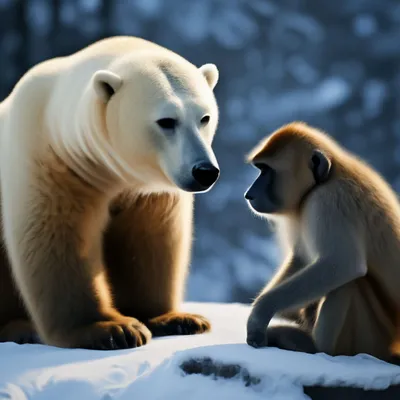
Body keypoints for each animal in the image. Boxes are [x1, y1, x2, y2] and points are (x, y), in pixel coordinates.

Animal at [0, 36, 220, 348]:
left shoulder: (149, 193)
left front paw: (176, 319)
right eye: (166, 121)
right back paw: (19, 328)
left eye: (205, 117)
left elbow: (150, 241)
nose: (204, 171)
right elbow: (59, 238)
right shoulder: (52, 164)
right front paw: (112, 329)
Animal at [242, 120, 400, 360]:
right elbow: (302, 258)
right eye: (259, 169)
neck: (328, 178)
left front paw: (259, 315)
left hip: (372, 338)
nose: (249, 194)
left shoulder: (329, 200)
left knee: (348, 282)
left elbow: (343, 263)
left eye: (266, 170)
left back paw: (315, 347)